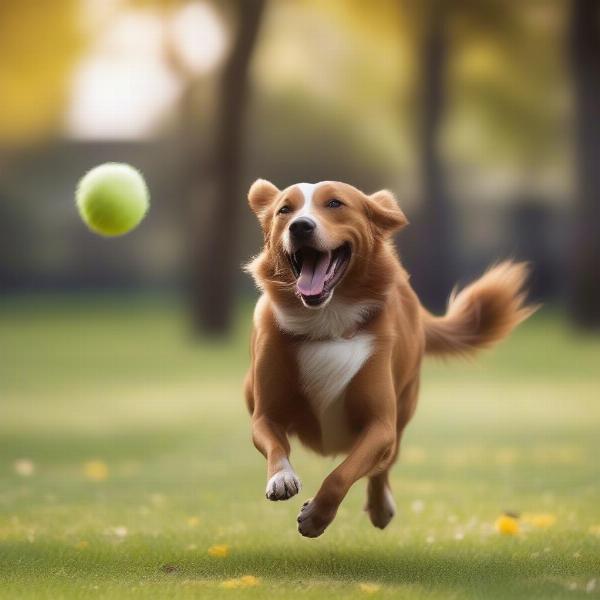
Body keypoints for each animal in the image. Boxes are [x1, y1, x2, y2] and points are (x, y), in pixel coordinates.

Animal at [244, 179, 536, 540]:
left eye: (335, 204)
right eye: (284, 209)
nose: (300, 226)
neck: (327, 320)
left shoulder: (381, 424)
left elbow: (343, 474)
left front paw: (317, 517)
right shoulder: (264, 414)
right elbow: (275, 443)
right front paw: (281, 477)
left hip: (404, 408)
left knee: (384, 464)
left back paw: (381, 505)